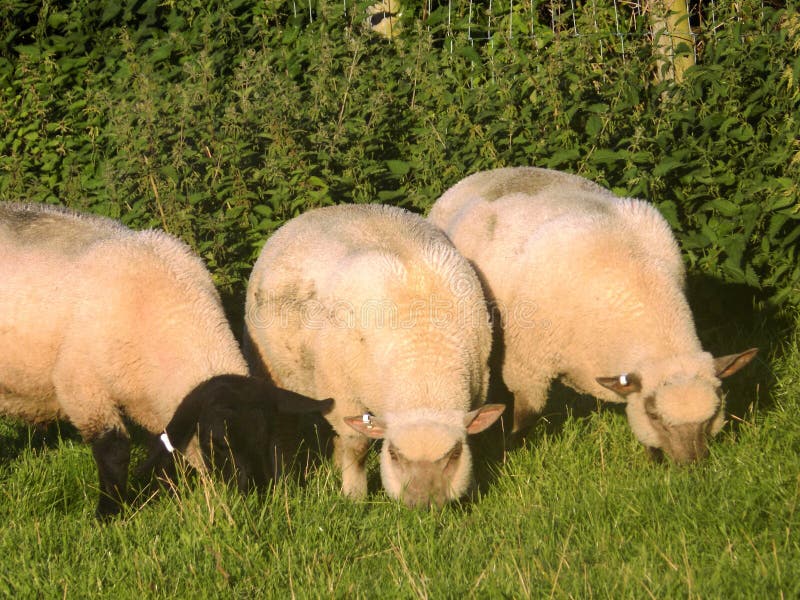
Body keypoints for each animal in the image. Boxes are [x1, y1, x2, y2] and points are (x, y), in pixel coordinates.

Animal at [245, 205, 506, 506]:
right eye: (393, 454)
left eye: (454, 455)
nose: (423, 504)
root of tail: (315, 212)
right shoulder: (342, 394)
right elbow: (357, 446)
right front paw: (354, 496)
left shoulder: (478, 388)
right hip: (267, 364)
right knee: (282, 426)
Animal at [424, 168, 756, 464]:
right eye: (654, 414)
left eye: (713, 413)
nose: (692, 466)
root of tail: (479, 175)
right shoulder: (529, 362)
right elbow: (526, 415)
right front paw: (511, 450)